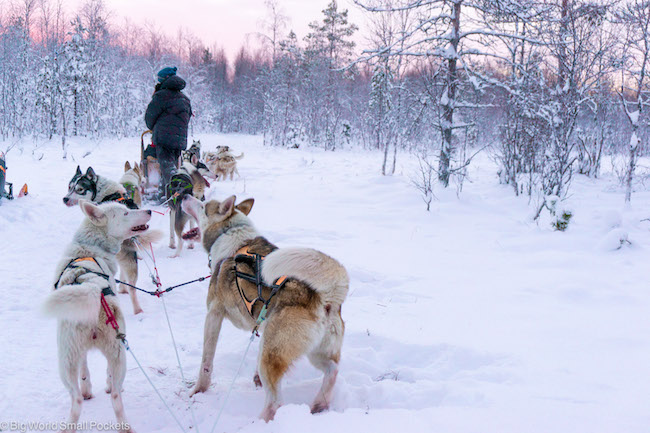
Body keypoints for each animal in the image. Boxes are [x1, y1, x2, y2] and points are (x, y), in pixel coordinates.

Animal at [44, 201, 153, 432]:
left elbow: (85, 369)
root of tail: (92, 286)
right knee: (114, 394)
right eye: (126, 212)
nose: (148, 210)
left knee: (78, 398)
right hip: (115, 354)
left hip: (69, 361)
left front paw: (88, 387)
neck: (89, 247)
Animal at [180, 194, 346, 420]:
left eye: (203, 205)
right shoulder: (262, 325)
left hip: (273, 354)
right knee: (332, 370)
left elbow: (206, 361)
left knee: (275, 403)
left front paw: (198, 390)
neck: (230, 235)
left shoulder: (213, 314)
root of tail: (326, 295)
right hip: (313, 351)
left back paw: (259, 421)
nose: (184, 195)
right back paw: (319, 403)